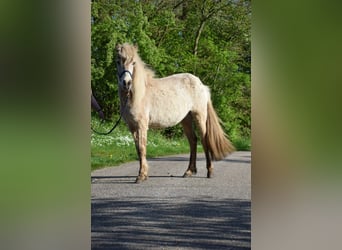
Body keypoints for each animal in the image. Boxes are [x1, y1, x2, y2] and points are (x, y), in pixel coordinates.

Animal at [115, 43, 235, 184]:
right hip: (186, 119)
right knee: (193, 141)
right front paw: (143, 174)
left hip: (199, 116)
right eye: (118, 61)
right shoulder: (132, 127)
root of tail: (201, 85)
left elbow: (142, 148)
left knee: (204, 140)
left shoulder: (141, 126)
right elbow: (138, 150)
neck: (138, 95)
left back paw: (209, 171)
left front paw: (141, 176)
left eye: (133, 63)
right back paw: (189, 171)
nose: (126, 83)